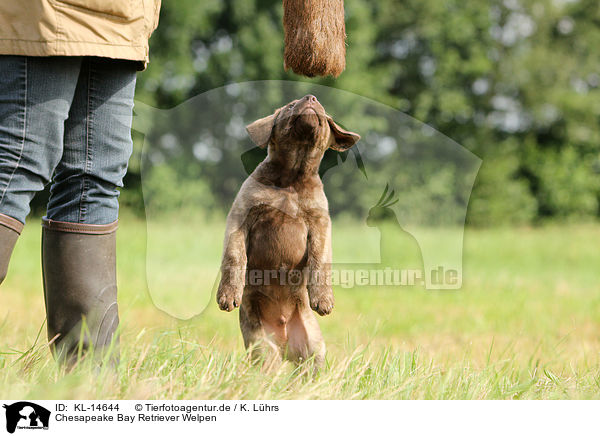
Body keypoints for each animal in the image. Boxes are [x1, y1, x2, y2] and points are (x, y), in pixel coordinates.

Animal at [217, 95, 360, 372]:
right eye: (291, 105)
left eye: (323, 110)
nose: (311, 97)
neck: (292, 178)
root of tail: (284, 340)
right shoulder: (240, 218)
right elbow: (234, 257)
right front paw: (228, 295)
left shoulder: (320, 225)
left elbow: (320, 263)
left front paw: (323, 299)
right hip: (261, 346)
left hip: (314, 349)